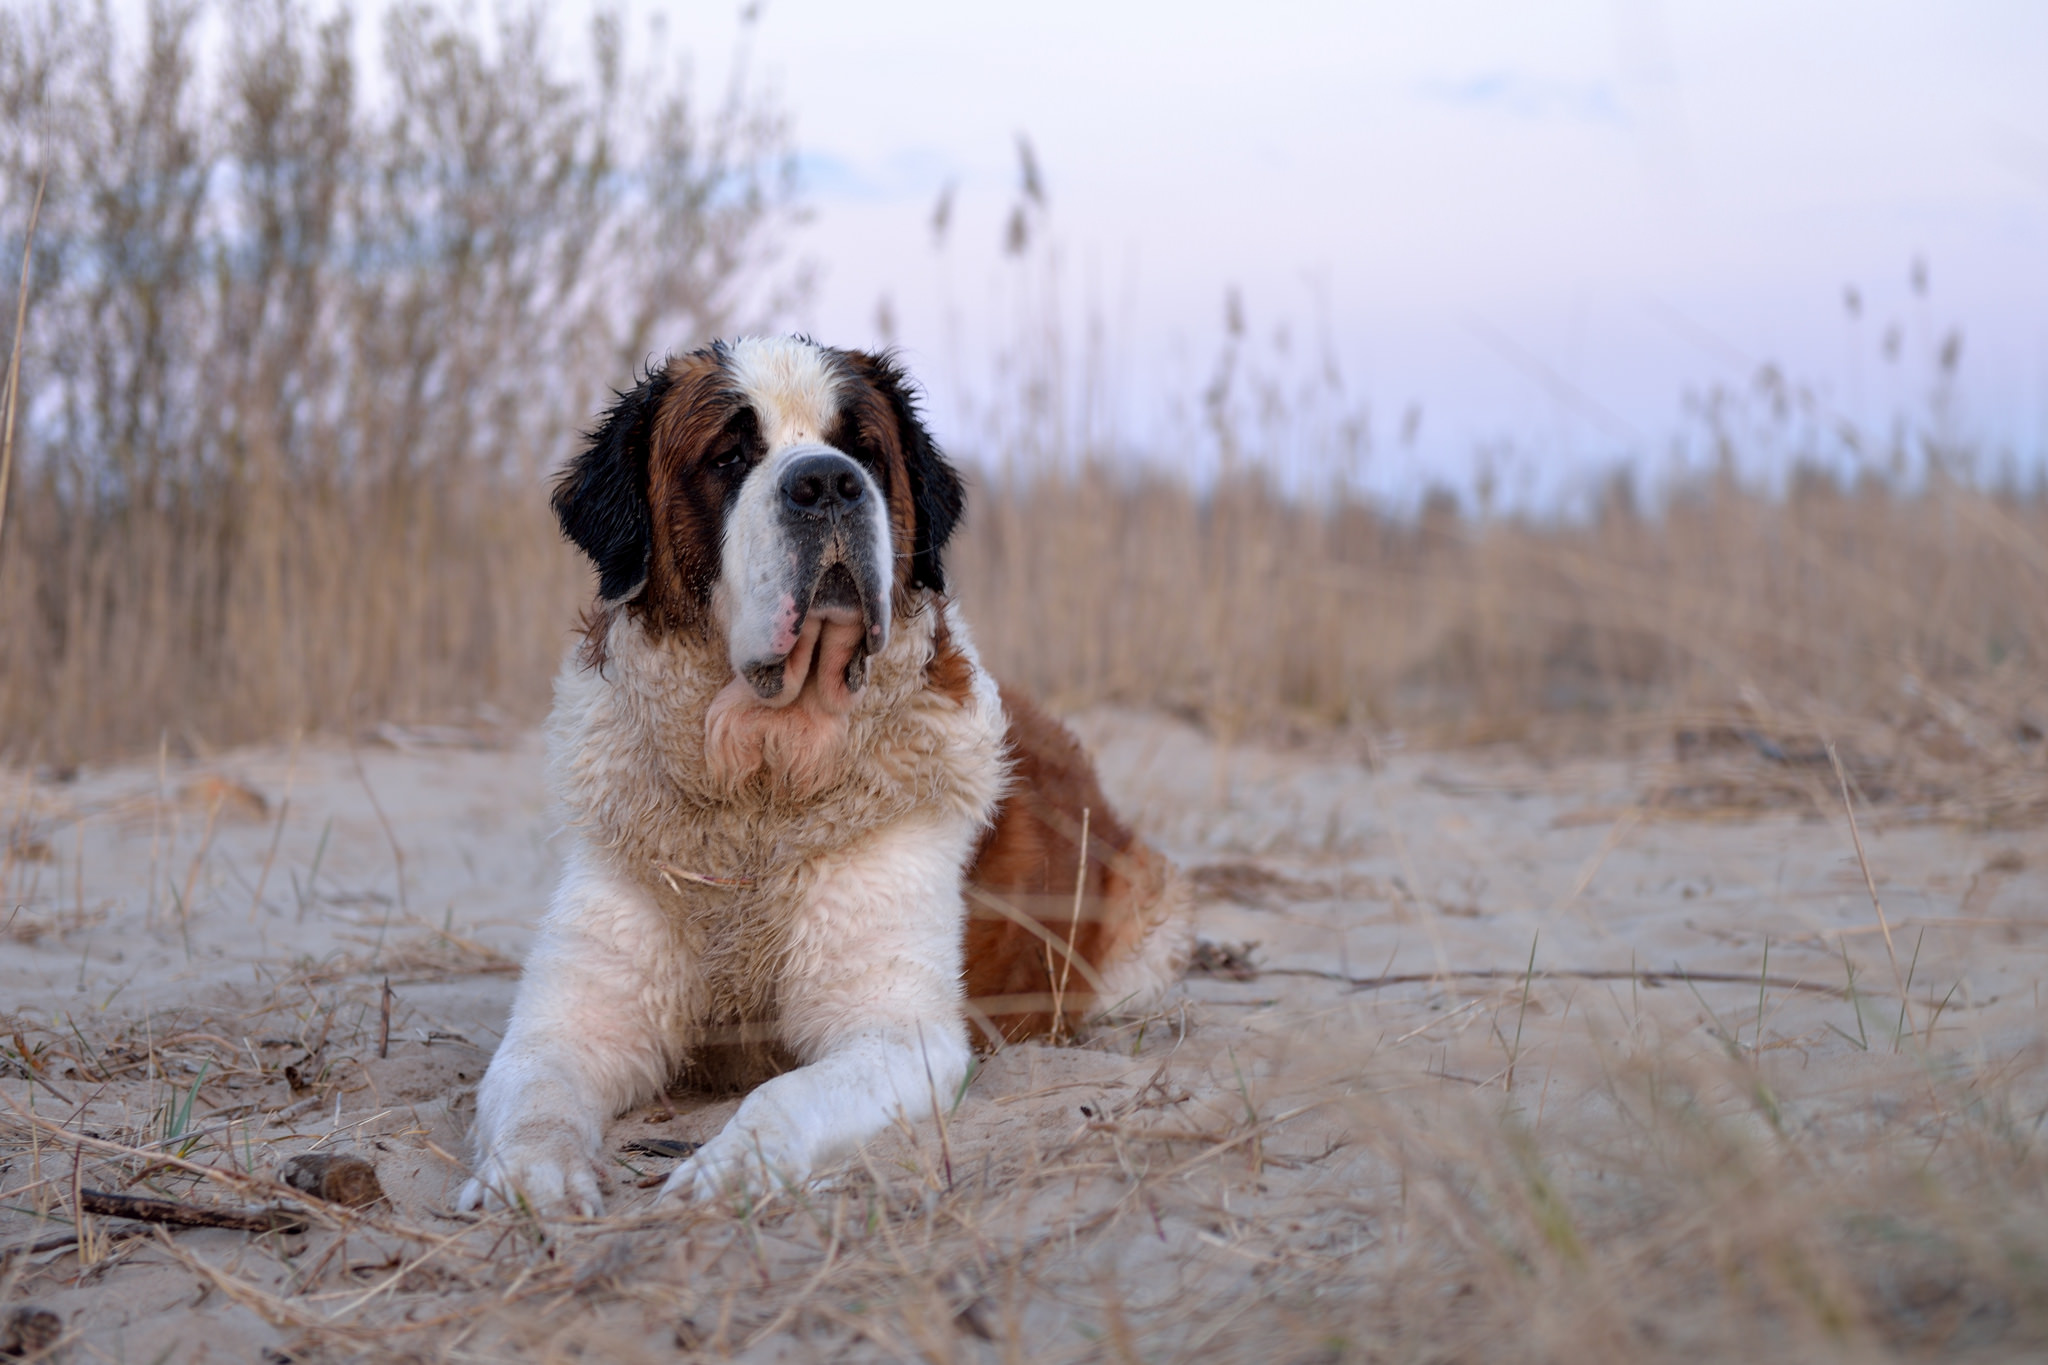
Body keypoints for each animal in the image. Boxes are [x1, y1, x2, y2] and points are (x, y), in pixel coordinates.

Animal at [456, 335, 1196, 1211]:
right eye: (730, 455)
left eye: (864, 451)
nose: (828, 482)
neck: (764, 775)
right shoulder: (575, 1016)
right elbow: (537, 1083)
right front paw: (527, 1177)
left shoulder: (897, 1029)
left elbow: (785, 1092)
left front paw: (729, 1169)